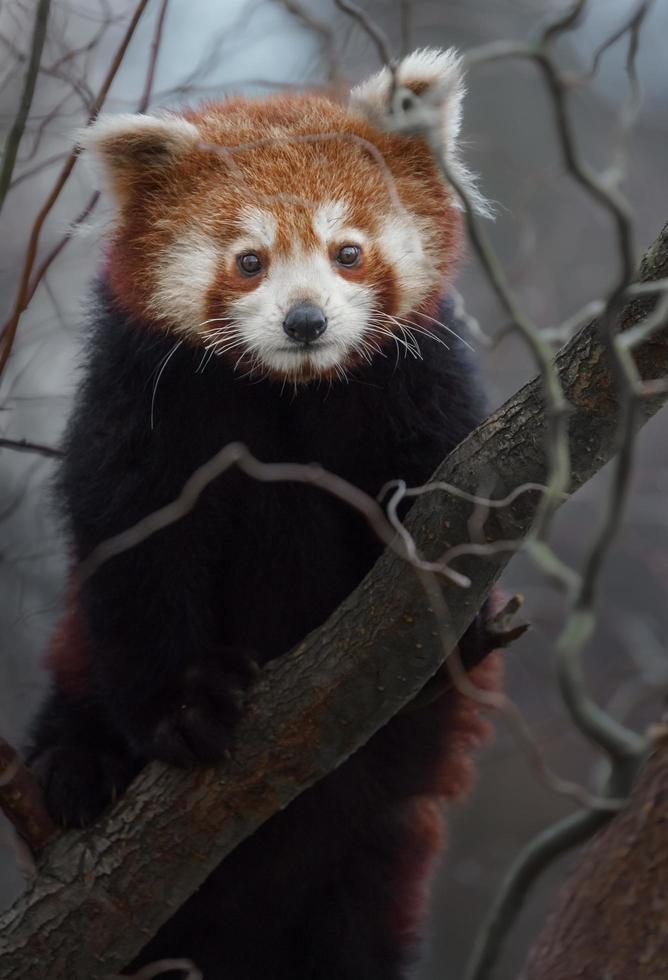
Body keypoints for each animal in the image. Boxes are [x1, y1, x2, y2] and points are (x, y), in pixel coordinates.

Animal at [30, 47, 500, 980]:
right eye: (249, 260)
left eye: (347, 252)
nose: (306, 319)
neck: (293, 390)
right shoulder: (148, 403)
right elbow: (137, 552)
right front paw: (185, 705)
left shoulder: (420, 384)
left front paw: (456, 623)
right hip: (73, 661)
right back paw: (77, 766)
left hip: (376, 845)